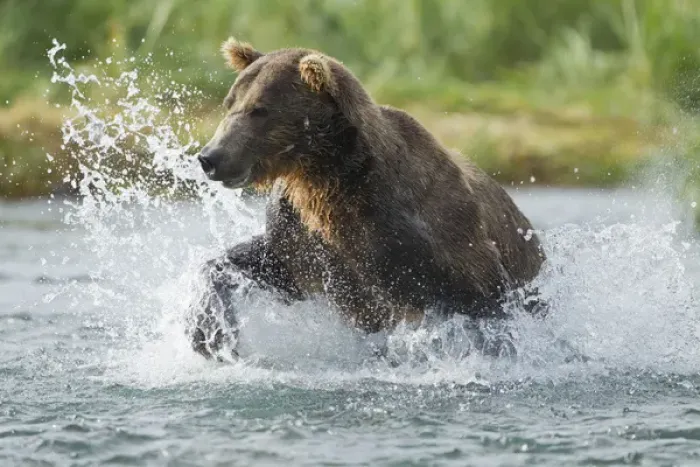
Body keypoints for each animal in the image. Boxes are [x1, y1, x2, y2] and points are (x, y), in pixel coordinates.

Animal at [186, 38, 546, 361]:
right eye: (229, 103)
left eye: (260, 110)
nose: (210, 157)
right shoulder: (303, 237)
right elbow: (261, 263)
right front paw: (210, 334)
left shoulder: (432, 237)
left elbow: (482, 299)